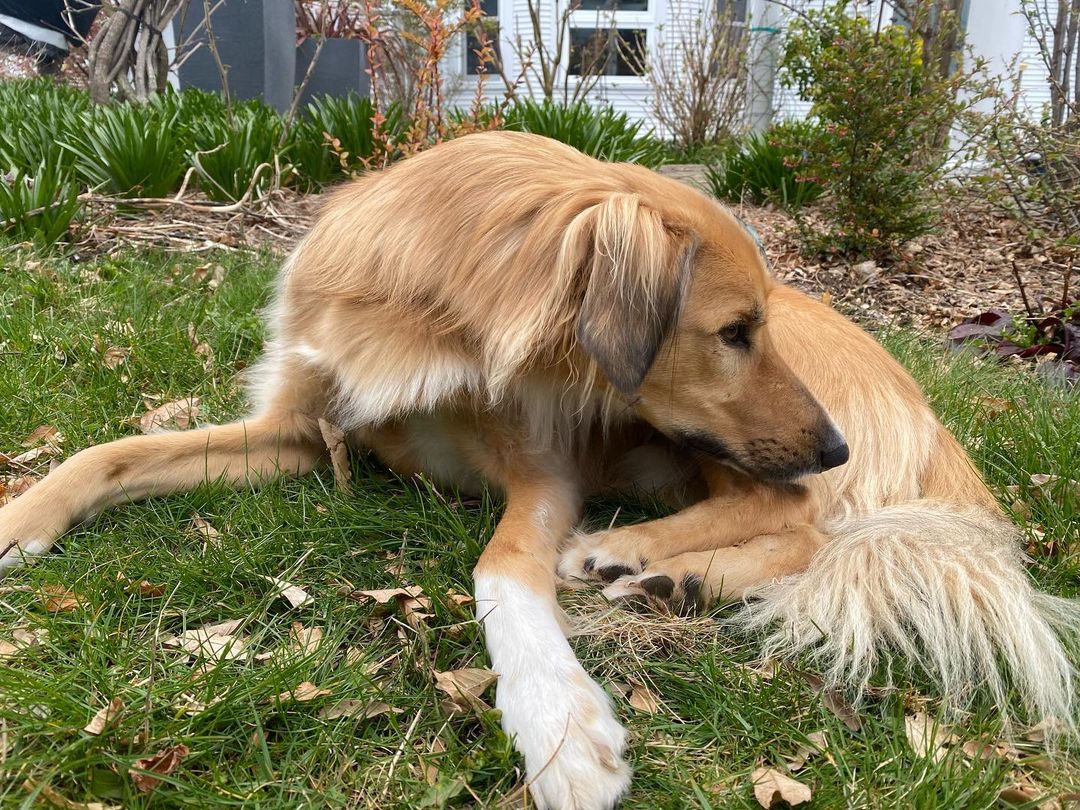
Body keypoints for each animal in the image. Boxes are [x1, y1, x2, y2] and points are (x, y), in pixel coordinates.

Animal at [0, 130, 1075, 807]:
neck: (426, 321)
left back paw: (634, 558)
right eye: (734, 331)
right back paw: (670, 579)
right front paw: (20, 520)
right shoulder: (300, 432)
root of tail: (928, 422)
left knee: (803, 517)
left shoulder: (547, 479)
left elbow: (502, 568)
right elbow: (113, 451)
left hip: (701, 441)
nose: (836, 445)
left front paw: (558, 723)